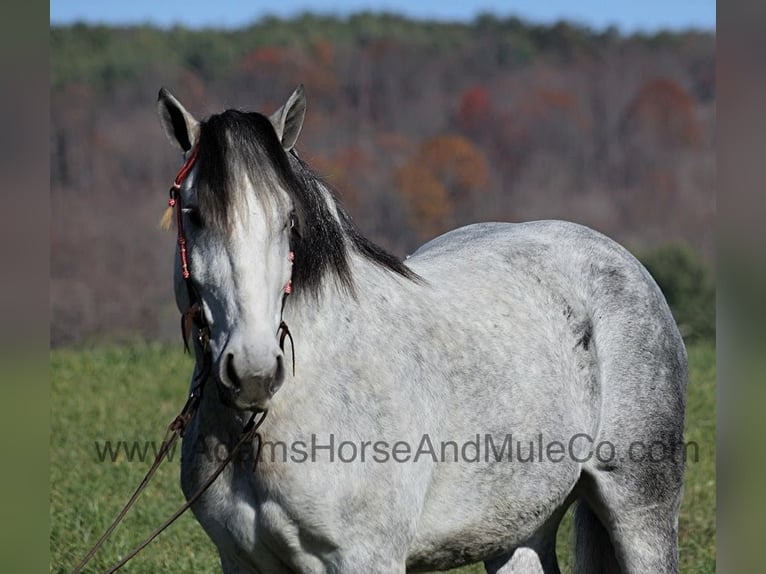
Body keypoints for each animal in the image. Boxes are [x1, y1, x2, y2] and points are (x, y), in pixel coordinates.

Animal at [156, 85, 687, 573]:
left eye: (289, 220)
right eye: (193, 214)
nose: (254, 373)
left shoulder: (366, 559)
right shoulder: (242, 561)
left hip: (640, 511)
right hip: (520, 528)